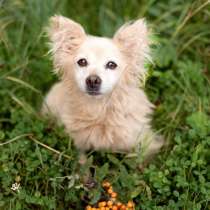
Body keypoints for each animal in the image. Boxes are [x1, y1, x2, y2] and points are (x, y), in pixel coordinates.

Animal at [42, 15, 164, 159]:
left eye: (111, 65)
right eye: (82, 62)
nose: (93, 80)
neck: (99, 109)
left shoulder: (144, 141)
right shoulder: (78, 143)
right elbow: (81, 160)